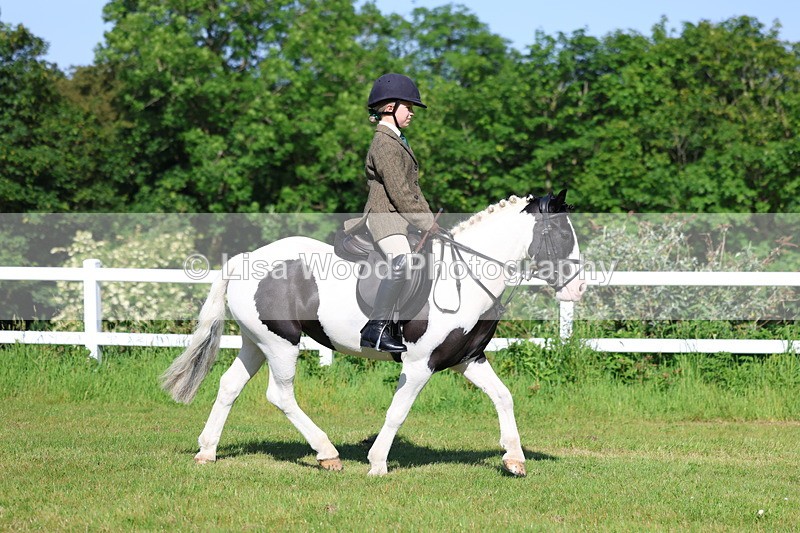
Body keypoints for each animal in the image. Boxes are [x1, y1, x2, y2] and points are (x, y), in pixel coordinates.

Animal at [161, 190, 586, 476]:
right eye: (562, 234)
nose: (578, 289)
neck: (467, 276)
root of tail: (244, 260)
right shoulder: (419, 364)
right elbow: (398, 411)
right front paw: (378, 463)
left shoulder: (467, 359)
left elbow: (504, 396)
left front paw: (514, 459)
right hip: (281, 344)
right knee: (279, 395)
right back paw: (327, 453)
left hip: (257, 342)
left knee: (229, 386)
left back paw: (207, 451)